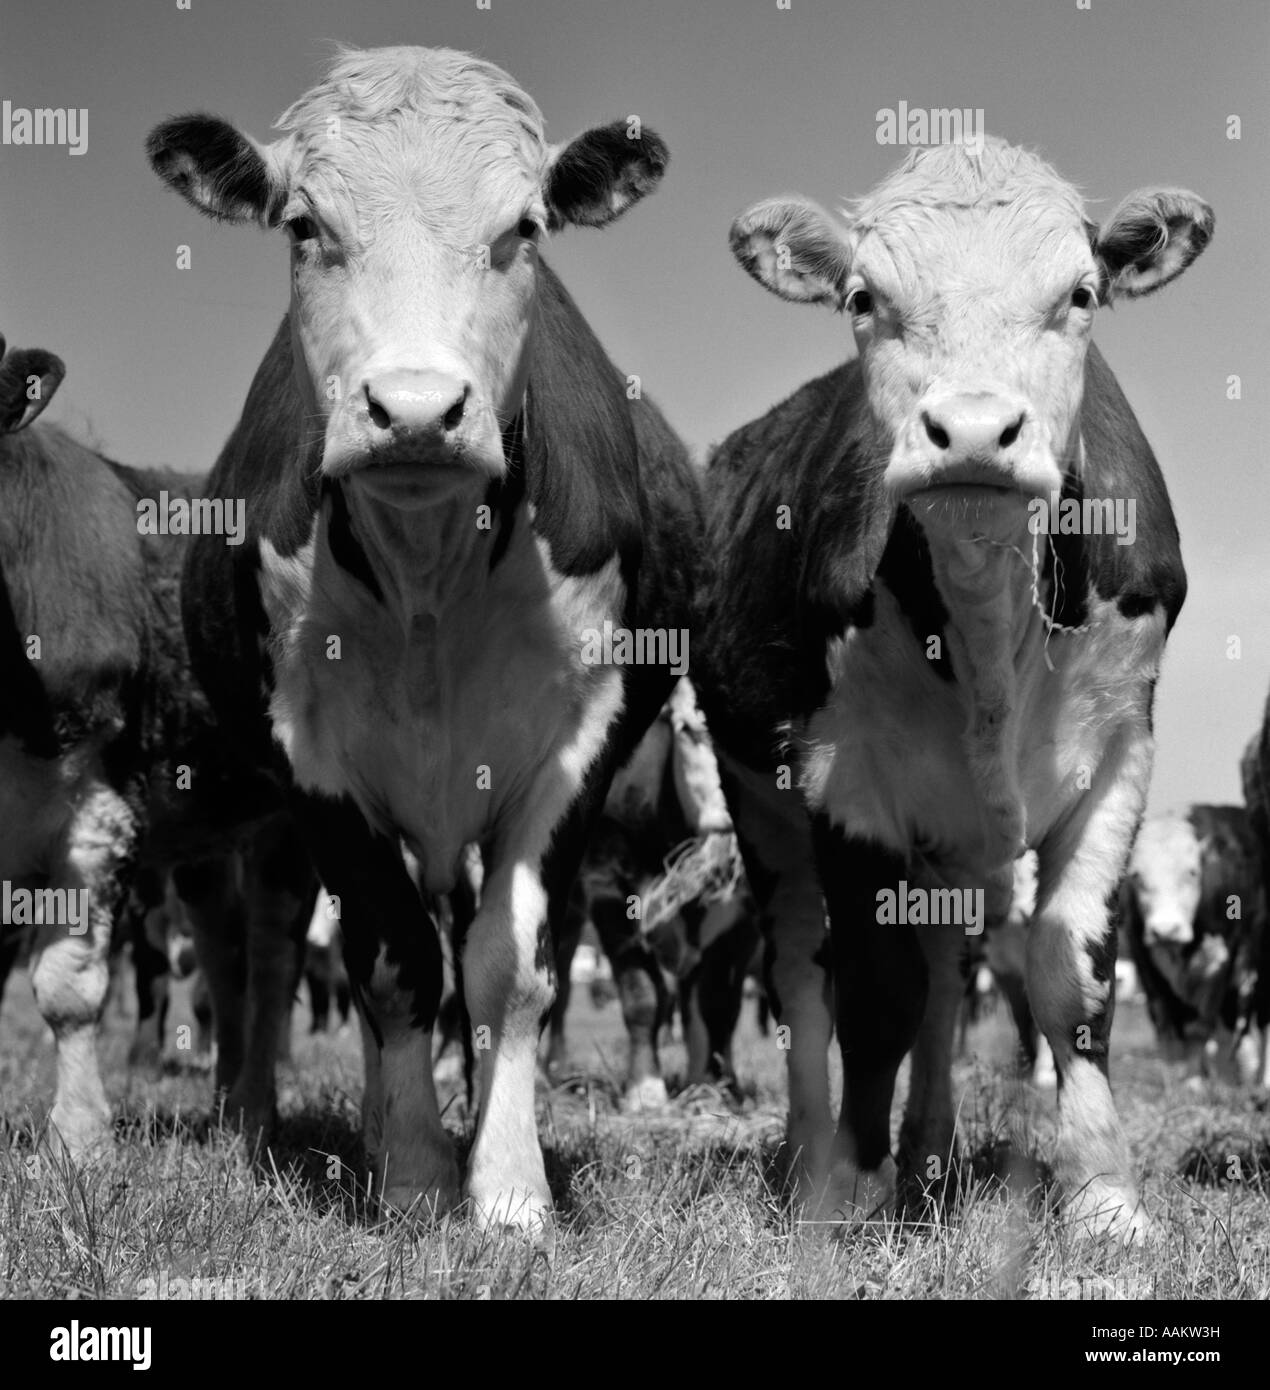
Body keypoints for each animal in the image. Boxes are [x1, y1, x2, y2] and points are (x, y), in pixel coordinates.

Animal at [146, 44, 700, 1233]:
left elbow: (510, 967)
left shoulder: (578, 745)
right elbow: (392, 962)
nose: (412, 410)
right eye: (303, 223)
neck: (428, 566)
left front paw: (508, 1186)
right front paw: (410, 1173)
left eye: (524, 227)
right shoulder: (311, 755)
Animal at [694, 136, 1212, 1241]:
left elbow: (1068, 976)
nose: (973, 431)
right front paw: (851, 1188)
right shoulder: (842, 778)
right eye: (863, 297)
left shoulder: (1121, 753)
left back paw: (929, 1154)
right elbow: (872, 993)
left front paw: (1105, 1195)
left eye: (1081, 292)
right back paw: (813, 1159)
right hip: (760, 800)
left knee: (941, 976)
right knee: (804, 973)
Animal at [1121, 806, 1267, 1085]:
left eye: (1192, 872)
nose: (1165, 930)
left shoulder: (1226, 963)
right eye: (1136, 876)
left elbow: (1205, 1026)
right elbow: (1169, 1025)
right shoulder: (1145, 961)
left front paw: (1208, 1081)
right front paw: (1180, 1082)